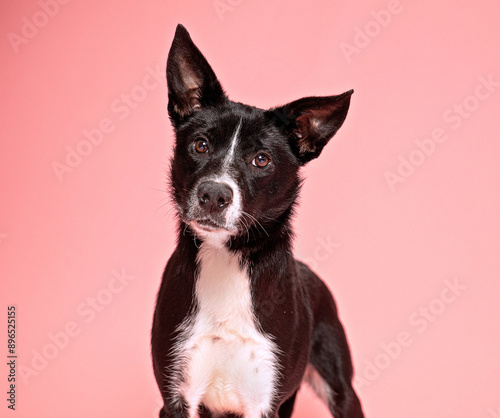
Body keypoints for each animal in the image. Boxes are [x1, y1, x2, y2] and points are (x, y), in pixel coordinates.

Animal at [150, 24, 366, 416]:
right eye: (200, 145)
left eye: (261, 160)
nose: (214, 195)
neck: (228, 258)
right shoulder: (176, 396)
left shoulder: (263, 400)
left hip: (340, 387)